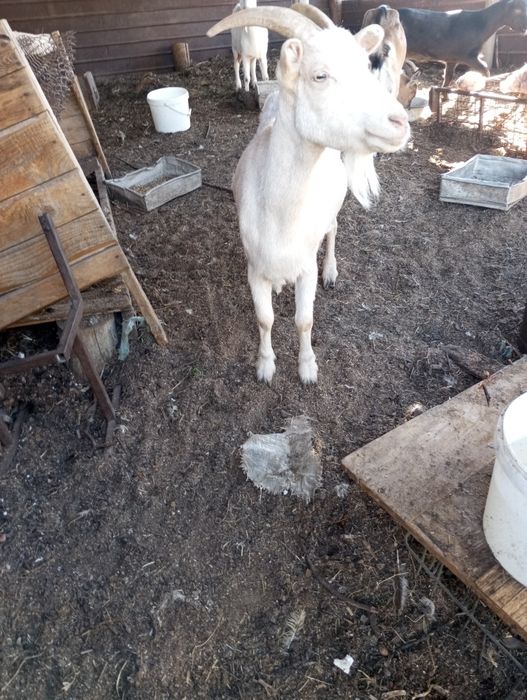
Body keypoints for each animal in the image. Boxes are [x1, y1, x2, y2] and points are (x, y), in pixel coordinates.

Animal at [208, 7, 409, 384]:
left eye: (366, 67)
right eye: (320, 75)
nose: (400, 122)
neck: (281, 216)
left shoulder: (305, 268)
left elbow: (304, 320)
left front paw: (307, 368)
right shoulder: (255, 268)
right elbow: (265, 319)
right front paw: (265, 366)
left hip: (333, 208)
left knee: (333, 229)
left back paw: (331, 271)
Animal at [398, 0, 527, 87]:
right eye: (519, 10)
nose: (526, 27)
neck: (480, 24)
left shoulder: (451, 59)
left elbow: (448, 77)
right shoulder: (468, 55)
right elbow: (486, 70)